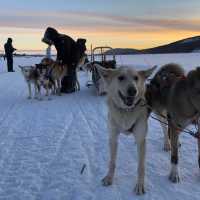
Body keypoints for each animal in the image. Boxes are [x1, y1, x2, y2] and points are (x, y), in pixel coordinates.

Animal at [96, 63, 157, 194]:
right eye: (121, 77)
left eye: (136, 78)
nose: (133, 90)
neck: (126, 111)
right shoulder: (113, 138)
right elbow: (112, 162)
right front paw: (109, 177)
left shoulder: (141, 140)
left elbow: (141, 166)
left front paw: (140, 185)